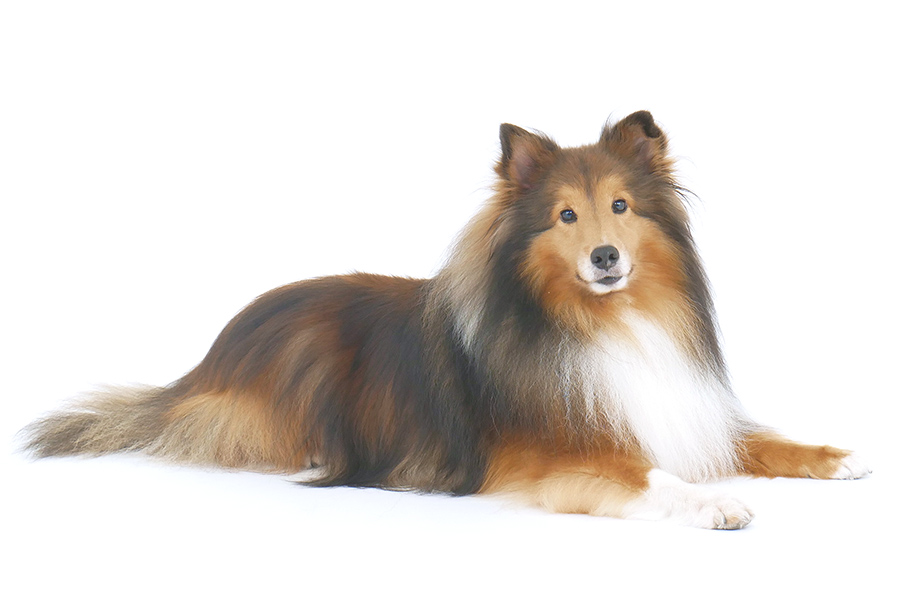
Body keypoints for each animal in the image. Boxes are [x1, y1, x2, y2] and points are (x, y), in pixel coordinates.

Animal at [23, 111, 870, 528]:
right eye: (566, 215)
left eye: (622, 206)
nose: (604, 257)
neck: (606, 319)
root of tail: (204, 361)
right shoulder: (552, 456)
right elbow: (650, 474)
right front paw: (715, 502)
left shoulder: (682, 412)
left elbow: (761, 438)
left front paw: (838, 457)